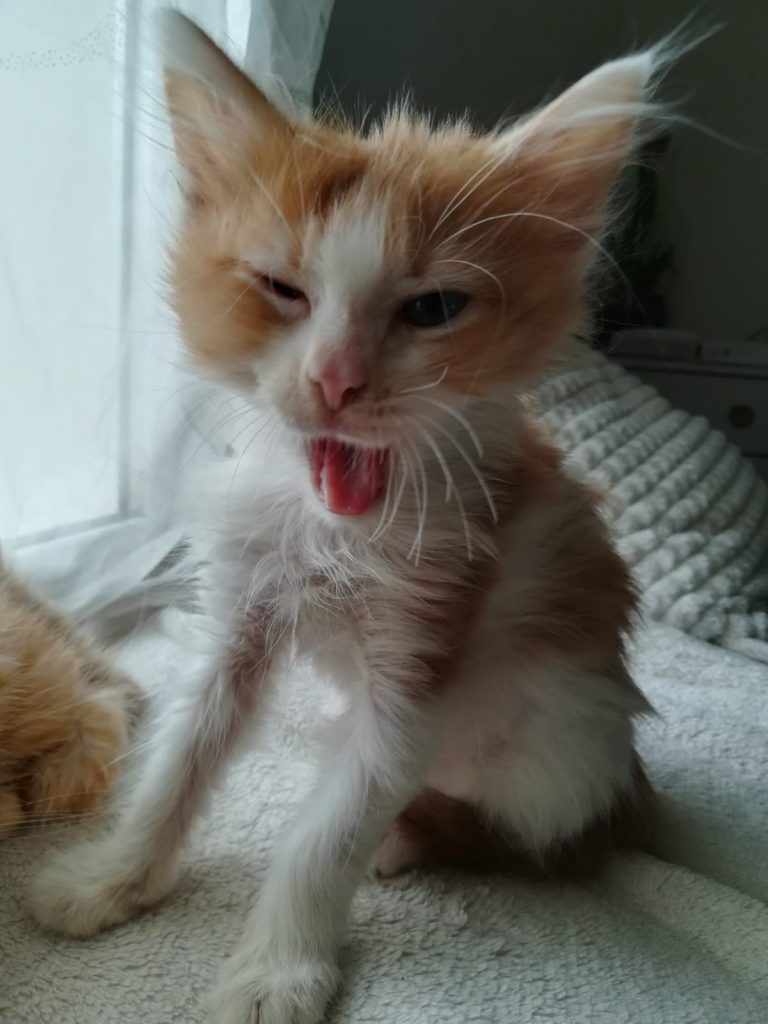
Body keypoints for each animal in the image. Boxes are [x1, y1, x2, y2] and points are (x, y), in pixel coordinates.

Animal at [31, 11, 660, 1024]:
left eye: (433, 308)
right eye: (282, 290)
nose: (334, 380)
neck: (332, 521)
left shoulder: (422, 653)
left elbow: (329, 835)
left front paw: (277, 970)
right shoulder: (238, 616)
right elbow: (178, 759)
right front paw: (114, 879)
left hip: (562, 744)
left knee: (535, 839)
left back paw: (414, 835)